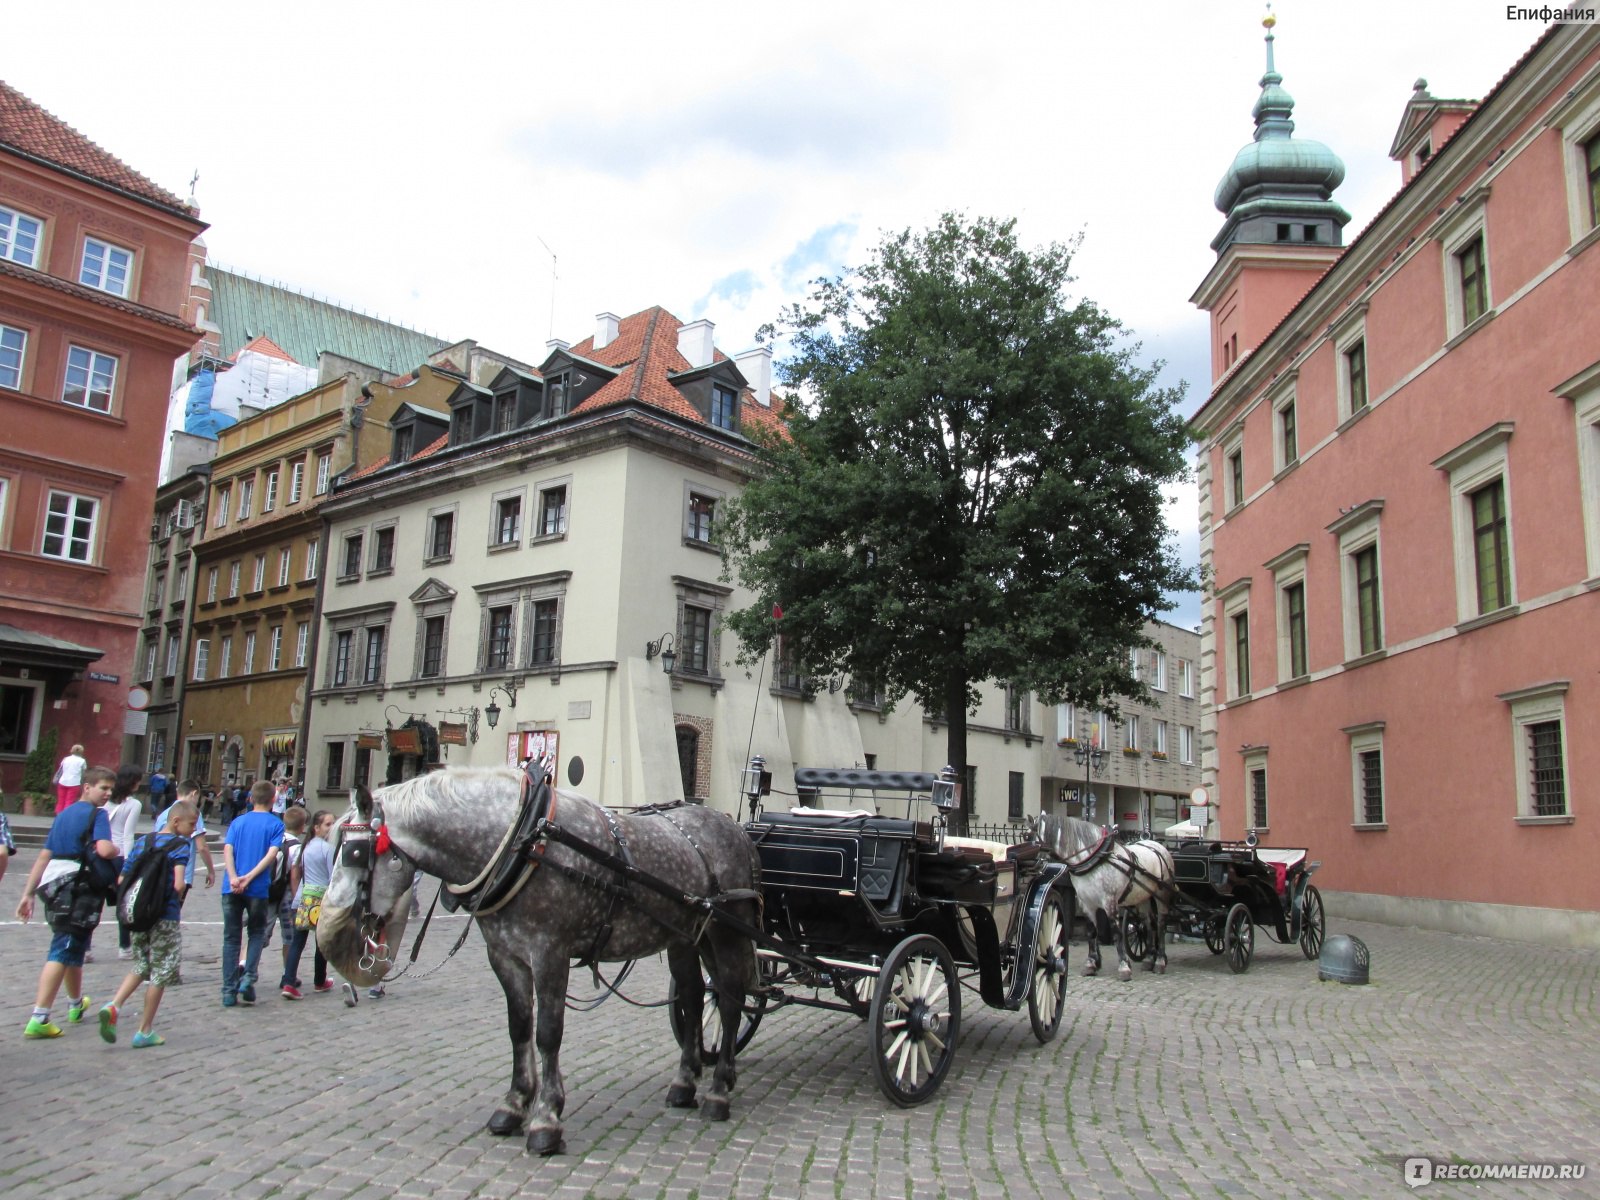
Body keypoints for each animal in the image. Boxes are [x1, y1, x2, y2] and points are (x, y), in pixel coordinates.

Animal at [318, 771, 761, 1158]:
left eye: (355, 853)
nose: (333, 935)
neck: (522, 842)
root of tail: (734, 826)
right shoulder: (504, 955)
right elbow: (518, 1028)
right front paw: (514, 1105)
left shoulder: (550, 952)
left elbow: (548, 1033)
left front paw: (546, 1119)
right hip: (687, 937)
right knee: (693, 997)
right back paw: (685, 1082)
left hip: (728, 932)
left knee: (730, 1001)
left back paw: (719, 1089)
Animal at [1030, 812, 1171, 979]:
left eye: (1028, 837)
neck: (1094, 859)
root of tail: (1157, 845)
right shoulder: (1086, 903)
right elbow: (1091, 932)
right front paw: (1091, 963)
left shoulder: (1109, 901)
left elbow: (1117, 933)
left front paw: (1124, 966)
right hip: (1142, 897)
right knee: (1148, 924)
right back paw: (1149, 959)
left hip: (1161, 894)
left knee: (1161, 925)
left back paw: (1160, 960)